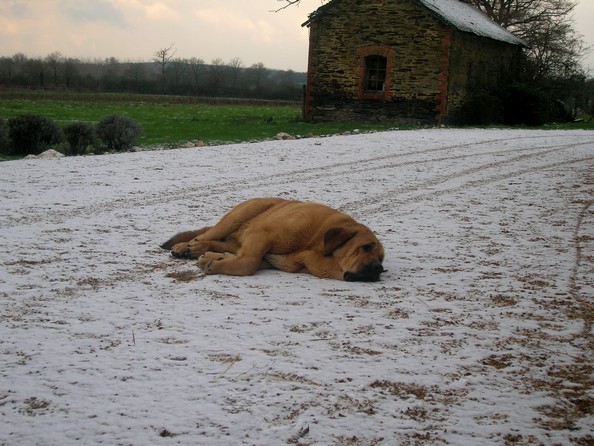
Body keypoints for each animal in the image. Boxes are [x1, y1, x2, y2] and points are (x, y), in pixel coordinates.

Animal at [161, 198, 384, 280]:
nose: (378, 268)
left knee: (215, 242)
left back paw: (198, 250)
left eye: (381, 259)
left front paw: (213, 258)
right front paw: (212, 262)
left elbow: (245, 260)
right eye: (366, 247)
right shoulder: (263, 234)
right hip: (238, 216)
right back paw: (185, 247)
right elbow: (248, 263)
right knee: (202, 235)